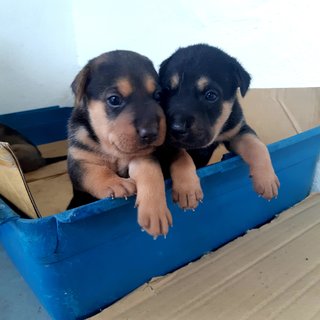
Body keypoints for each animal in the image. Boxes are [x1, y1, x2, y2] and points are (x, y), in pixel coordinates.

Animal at [67, 49, 172, 235]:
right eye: (114, 99)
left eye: (158, 95)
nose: (151, 134)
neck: (113, 151)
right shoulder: (78, 160)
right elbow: (94, 171)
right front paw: (116, 183)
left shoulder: (144, 156)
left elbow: (151, 171)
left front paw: (155, 210)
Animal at [159, 44, 278, 210]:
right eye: (166, 91)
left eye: (211, 95)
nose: (175, 128)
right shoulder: (168, 145)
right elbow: (182, 156)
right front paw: (187, 190)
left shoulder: (237, 131)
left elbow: (257, 145)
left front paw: (267, 179)